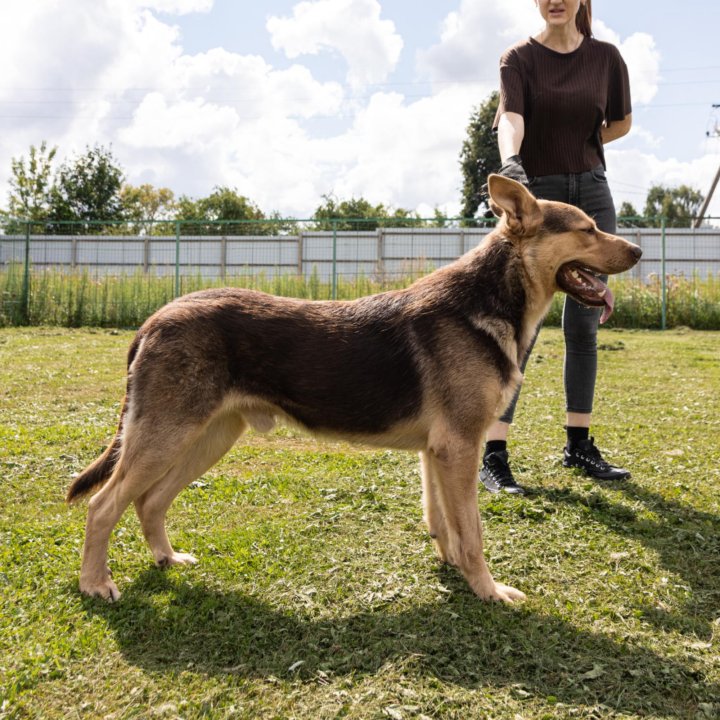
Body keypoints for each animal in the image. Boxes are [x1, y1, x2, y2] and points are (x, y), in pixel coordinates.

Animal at [66, 174, 640, 600]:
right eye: (588, 229)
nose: (636, 249)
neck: (489, 298)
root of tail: (155, 318)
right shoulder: (460, 448)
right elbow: (473, 533)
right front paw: (489, 591)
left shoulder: (437, 453)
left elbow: (444, 524)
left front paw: (454, 572)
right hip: (165, 438)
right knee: (104, 506)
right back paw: (96, 584)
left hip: (206, 439)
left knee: (149, 502)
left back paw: (167, 558)